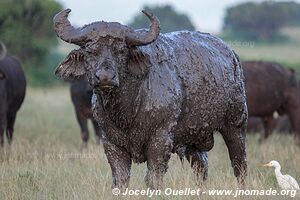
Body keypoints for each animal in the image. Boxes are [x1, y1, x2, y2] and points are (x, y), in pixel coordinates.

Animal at [52, 9, 247, 189]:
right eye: (90, 51)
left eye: (121, 50)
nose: (105, 77)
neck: (127, 111)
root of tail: (232, 55)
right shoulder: (111, 143)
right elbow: (120, 179)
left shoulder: (160, 140)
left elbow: (153, 178)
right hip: (193, 137)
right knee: (201, 167)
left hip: (236, 124)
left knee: (239, 165)